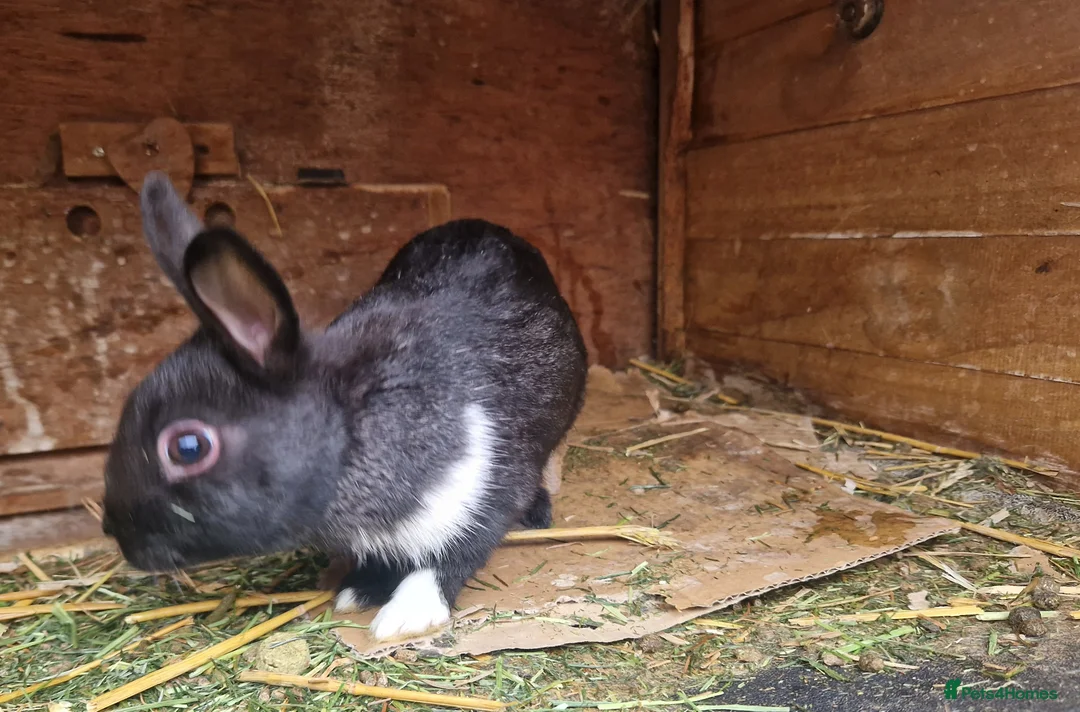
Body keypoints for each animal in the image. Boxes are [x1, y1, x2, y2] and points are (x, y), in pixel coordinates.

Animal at [101, 171, 587, 641]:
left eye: (187, 447)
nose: (117, 535)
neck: (352, 424)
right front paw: (359, 590)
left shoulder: (482, 490)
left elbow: (448, 558)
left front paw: (404, 616)